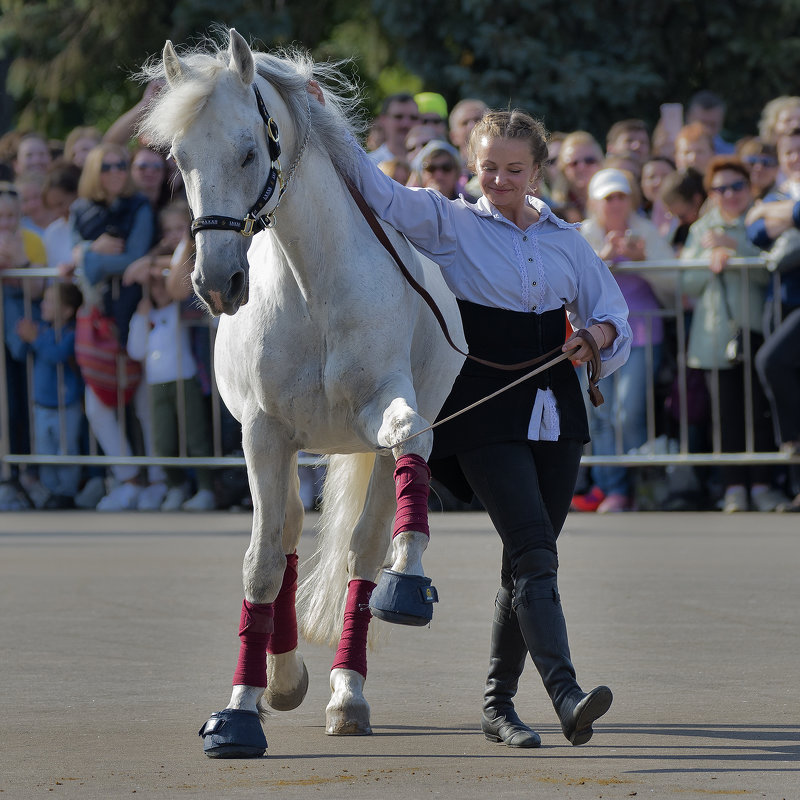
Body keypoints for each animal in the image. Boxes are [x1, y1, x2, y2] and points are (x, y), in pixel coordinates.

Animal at [141, 31, 466, 756]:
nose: (217, 283)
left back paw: (348, 691)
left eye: (248, 150)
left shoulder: (385, 410)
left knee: (362, 548)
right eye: (180, 160)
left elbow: (409, 443)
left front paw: (408, 577)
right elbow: (263, 563)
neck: (314, 289)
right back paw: (282, 679)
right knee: (287, 533)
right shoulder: (263, 435)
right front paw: (240, 710)